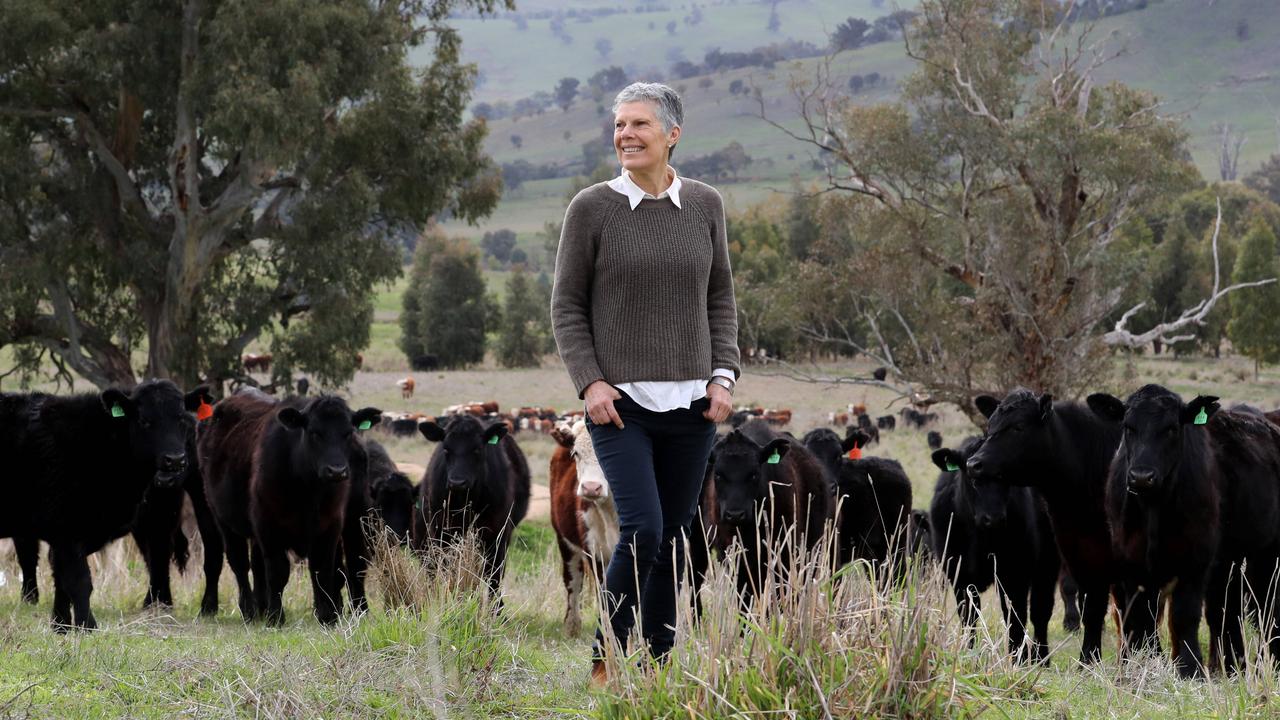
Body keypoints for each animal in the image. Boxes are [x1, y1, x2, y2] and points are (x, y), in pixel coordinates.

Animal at [0, 381, 207, 627]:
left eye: (182, 419)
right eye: (144, 421)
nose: (175, 459)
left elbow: (61, 582)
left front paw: (61, 626)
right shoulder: (66, 532)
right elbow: (78, 582)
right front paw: (86, 626)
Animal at [412, 412, 527, 602]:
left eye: (477, 450)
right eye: (446, 450)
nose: (457, 482)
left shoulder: (498, 535)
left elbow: (494, 575)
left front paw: (496, 608)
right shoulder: (442, 533)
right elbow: (449, 571)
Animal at [545, 420, 619, 632]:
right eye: (576, 453)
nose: (591, 487)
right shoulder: (596, 551)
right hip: (565, 540)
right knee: (573, 580)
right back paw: (572, 625)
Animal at [931, 435, 1059, 661]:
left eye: (1005, 477)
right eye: (972, 477)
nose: (994, 518)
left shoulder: (1015, 576)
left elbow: (1015, 619)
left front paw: (1017, 660)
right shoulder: (959, 578)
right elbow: (969, 619)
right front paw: (969, 655)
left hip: (1048, 566)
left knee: (1040, 612)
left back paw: (1040, 658)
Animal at [962, 389, 1126, 666]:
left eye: (1018, 426)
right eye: (990, 426)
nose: (974, 464)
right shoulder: (1082, 557)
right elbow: (1092, 609)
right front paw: (1088, 661)